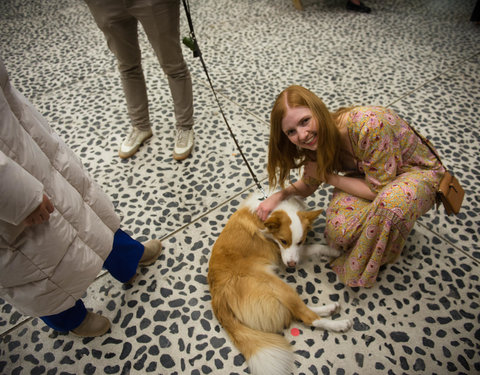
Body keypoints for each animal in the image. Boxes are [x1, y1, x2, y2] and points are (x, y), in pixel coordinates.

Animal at [207, 194, 352, 375]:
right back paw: (339, 324)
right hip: (276, 285)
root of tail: (218, 297)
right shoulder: (281, 252)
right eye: (283, 241)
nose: (292, 266)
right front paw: (335, 251)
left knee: (294, 311)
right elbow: (316, 246)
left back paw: (329, 308)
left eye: (300, 241)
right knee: (305, 316)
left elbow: (311, 247)